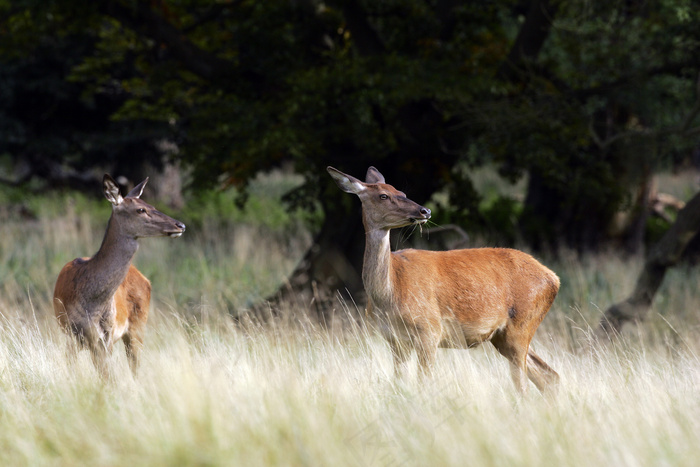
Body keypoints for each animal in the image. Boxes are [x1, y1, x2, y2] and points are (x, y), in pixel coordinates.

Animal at [53, 174, 186, 378]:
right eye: (141, 209)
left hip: (138, 325)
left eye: (151, 205)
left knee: (135, 367)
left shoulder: (106, 336)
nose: (180, 225)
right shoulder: (72, 333)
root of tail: (144, 277)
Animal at [326, 166, 560, 394]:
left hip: (521, 324)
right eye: (383, 195)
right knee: (548, 375)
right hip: (502, 336)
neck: (391, 294)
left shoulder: (430, 329)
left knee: (524, 383)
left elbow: (424, 383)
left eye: (402, 193)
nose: (425, 211)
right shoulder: (395, 340)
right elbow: (399, 384)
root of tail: (553, 278)